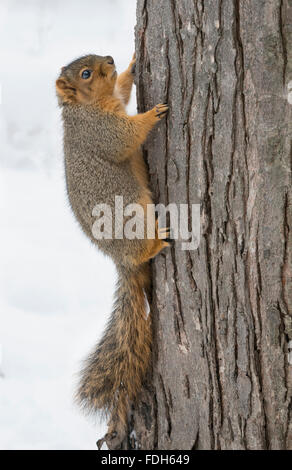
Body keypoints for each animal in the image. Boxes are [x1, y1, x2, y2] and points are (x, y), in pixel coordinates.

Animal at [55, 53, 170, 442]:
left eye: (93, 59)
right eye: (86, 73)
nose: (109, 58)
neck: (84, 107)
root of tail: (119, 259)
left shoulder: (115, 100)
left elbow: (124, 88)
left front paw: (132, 66)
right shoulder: (100, 131)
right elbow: (124, 137)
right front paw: (152, 115)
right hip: (134, 213)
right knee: (143, 247)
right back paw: (157, 241)